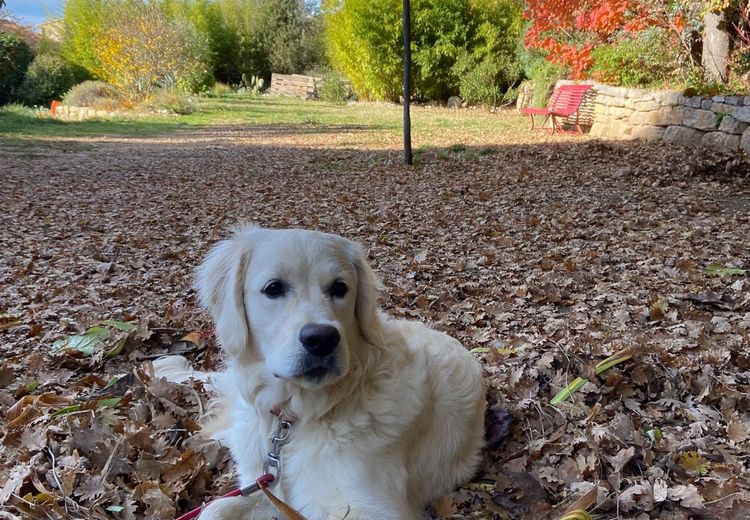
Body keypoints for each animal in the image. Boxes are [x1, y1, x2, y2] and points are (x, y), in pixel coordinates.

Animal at [157, 228, 488, 520]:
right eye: (273, 288)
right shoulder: (269, 487)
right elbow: (215, 509)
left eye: (339, 288)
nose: (322, 339)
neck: (297, 416)